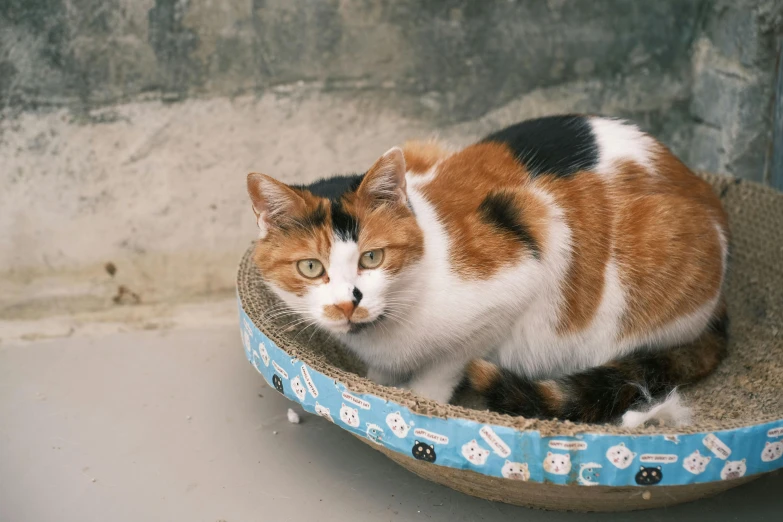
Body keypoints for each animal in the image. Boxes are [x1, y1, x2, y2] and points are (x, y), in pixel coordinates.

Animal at [248, 116, 732, 424]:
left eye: (372, 257)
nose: (349, 303)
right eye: (311, 267)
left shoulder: (521, 267)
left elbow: (450, 361)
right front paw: (379, 382)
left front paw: (419, 398)